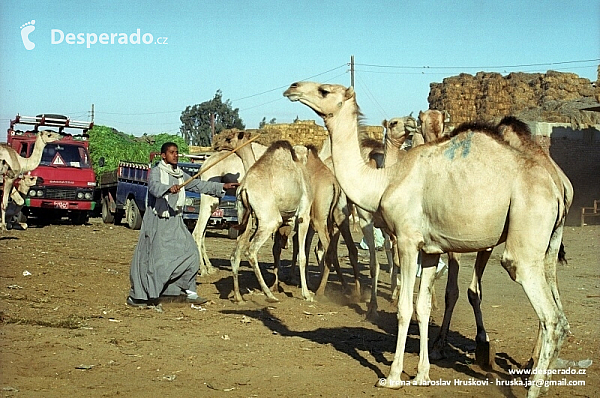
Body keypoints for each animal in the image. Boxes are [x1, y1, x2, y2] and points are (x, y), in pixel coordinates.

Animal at [230, 140, 314, 302]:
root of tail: (244, 187)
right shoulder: (304, 216)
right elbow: (302, 256)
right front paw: (306, 294)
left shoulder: (288, 218)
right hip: (270, 220)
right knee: (250, 251)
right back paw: (269, 294)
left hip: (244, 217)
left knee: (235, 254)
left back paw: (238, 297)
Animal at [284, 81, 568, 398]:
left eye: (324, 90)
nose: (293, 87)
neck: (384, 181)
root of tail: (557, 188)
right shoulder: (431, 250)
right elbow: (423, 307)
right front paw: (422, 375)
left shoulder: (407, 240)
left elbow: (404, 308)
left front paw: (393, 376)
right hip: (550, 243)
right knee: (559, 311)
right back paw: (541, 379)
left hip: (525, 238)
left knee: (550, 316)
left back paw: (531, 387)